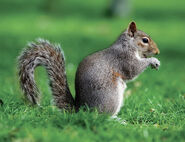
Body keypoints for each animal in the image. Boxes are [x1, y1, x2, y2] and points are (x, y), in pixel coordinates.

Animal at [18, 21, 160, 116]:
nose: (157, 52)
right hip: (111, 96)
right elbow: (133, 70)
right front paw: (153, 61)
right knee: (102, 117)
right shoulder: (123, 58)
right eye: (145, 40)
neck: (128, 45)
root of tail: (80, 110)